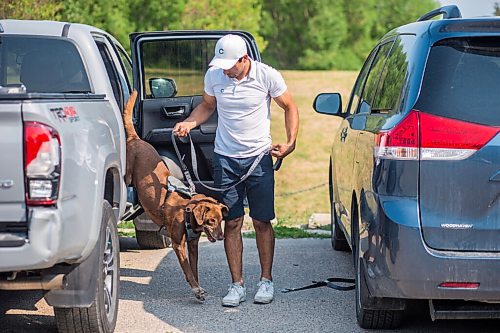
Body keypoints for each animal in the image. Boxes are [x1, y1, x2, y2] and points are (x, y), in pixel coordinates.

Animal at [124, 91, 228, 300]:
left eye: (221, 220)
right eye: (211, 221)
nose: (221, 237)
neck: (186, 210)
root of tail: (136, 138)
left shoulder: (193, 244)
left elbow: (194, 267)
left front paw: (197, 286)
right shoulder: (178, 244)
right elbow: (187, 267)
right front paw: (195, 288)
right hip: (129, 174)